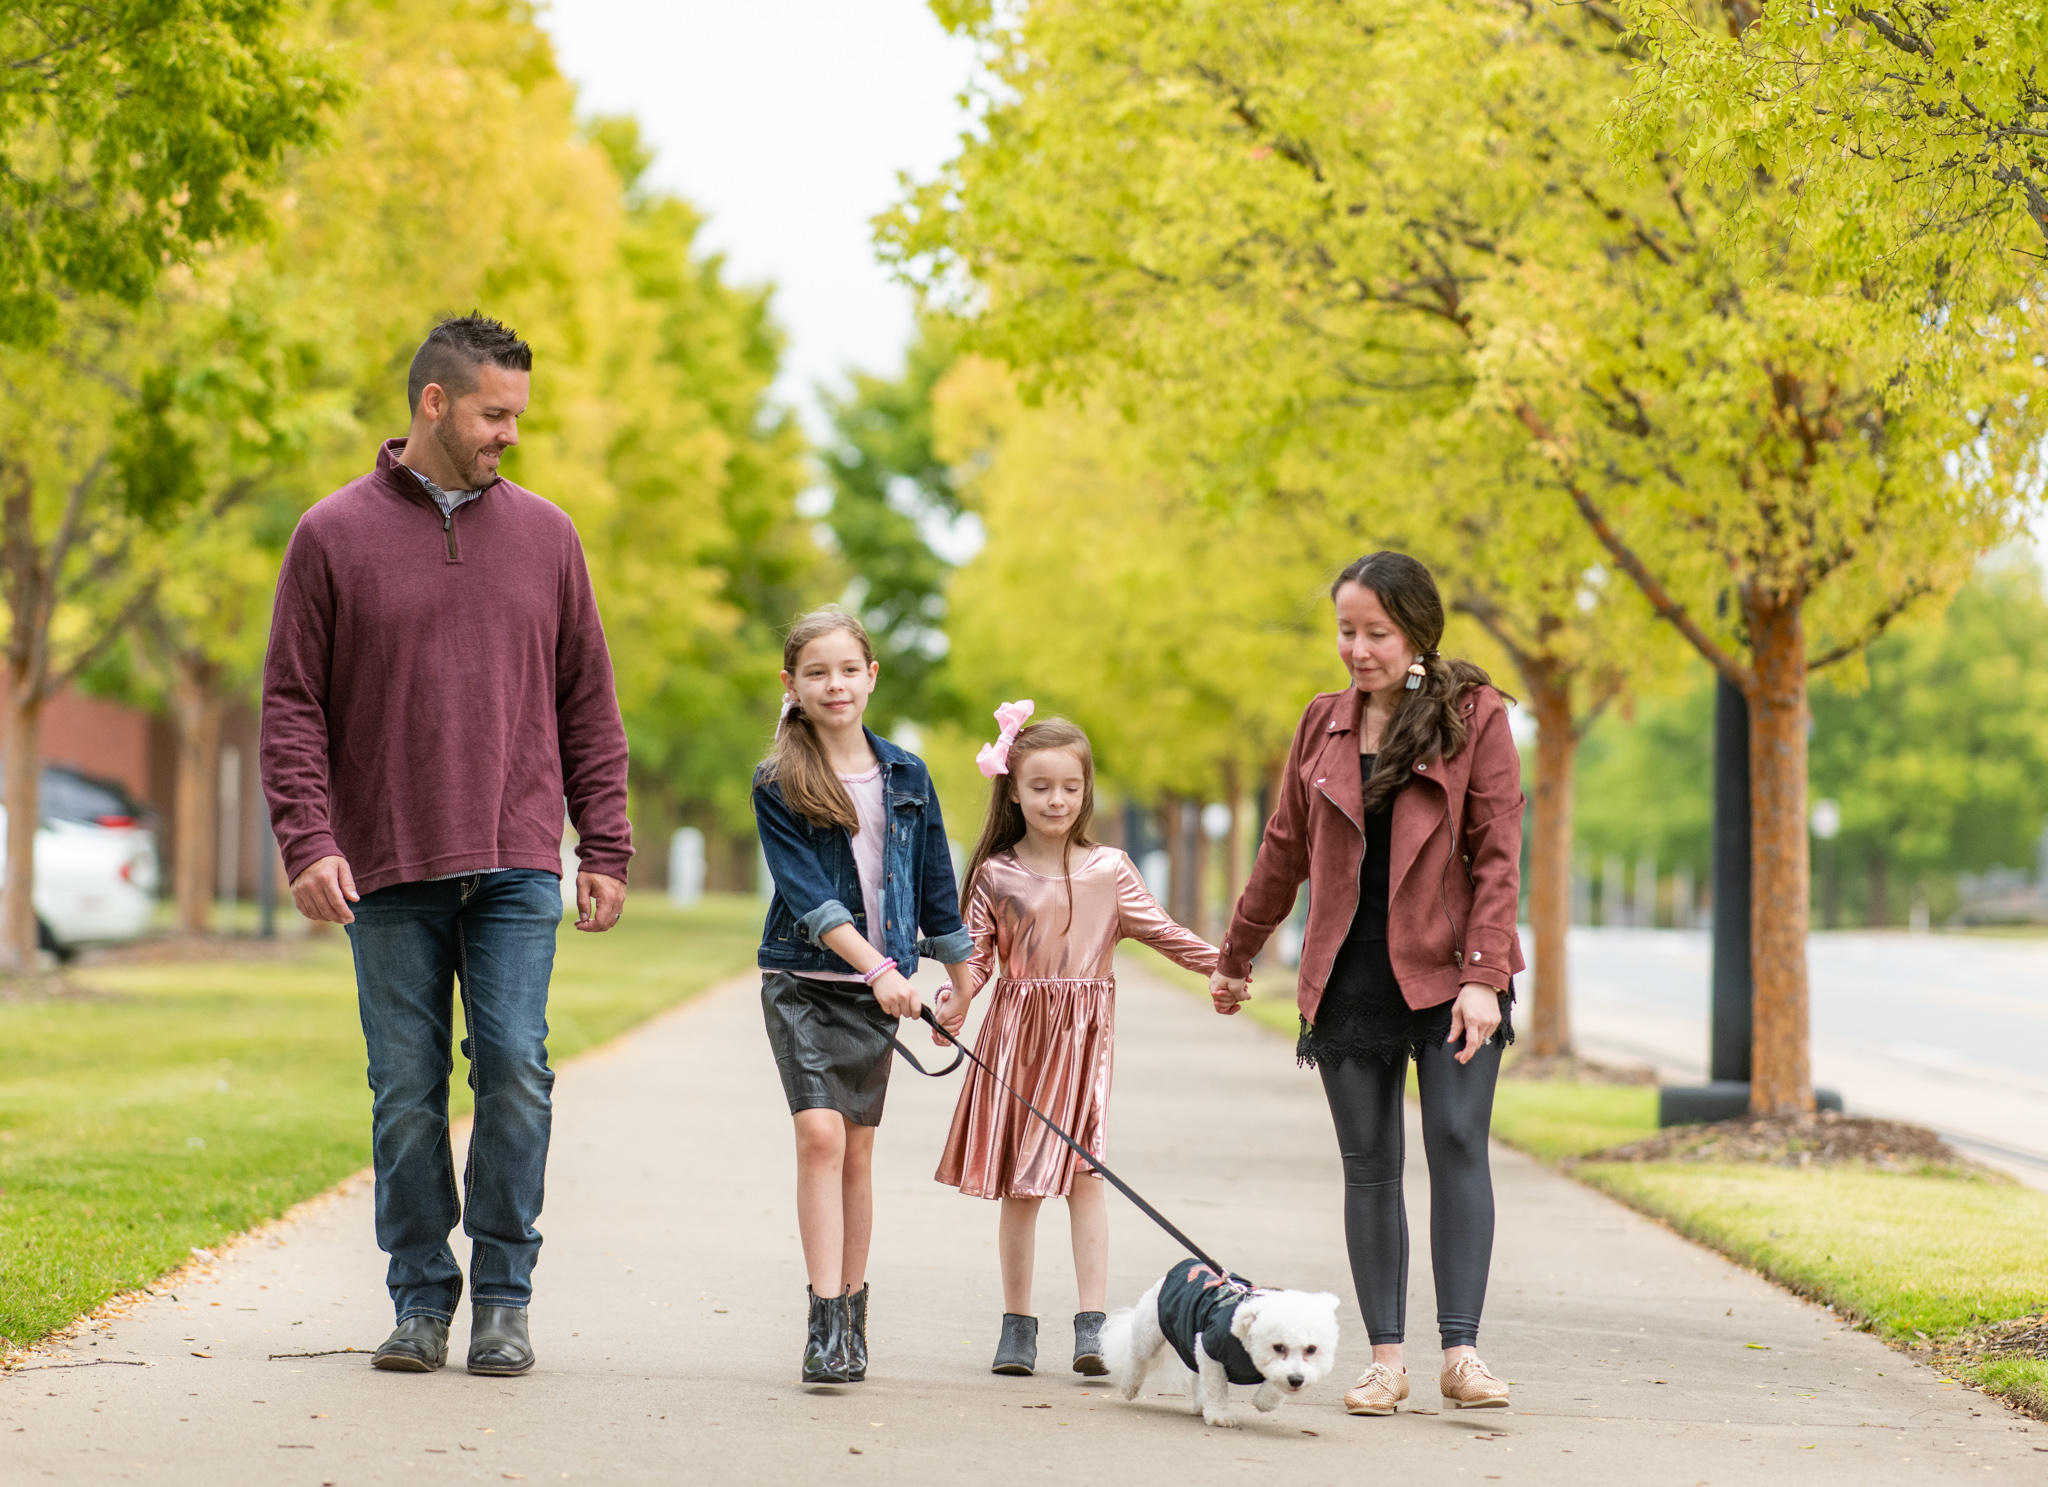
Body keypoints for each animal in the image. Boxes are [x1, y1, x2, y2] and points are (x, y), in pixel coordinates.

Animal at [1105, 1261, 1343, 1433]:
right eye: (1278, 1347)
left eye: (1311, 1349)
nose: (1296, 1379)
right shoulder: (1210, 1348)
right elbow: (1216, 1388)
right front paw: (1220, 1415)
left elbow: (1273, 1389)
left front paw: (1264, 1401)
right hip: (1149, 1332)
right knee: (1138, 1356)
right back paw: (1130, 1386)